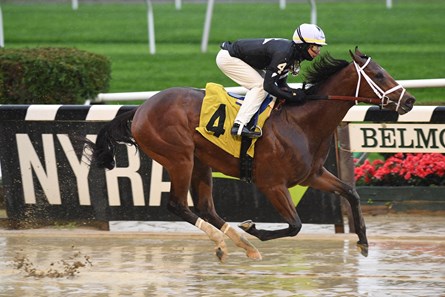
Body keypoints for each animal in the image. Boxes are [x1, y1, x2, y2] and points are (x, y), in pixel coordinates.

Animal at [86, 47, 412, 260]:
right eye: (379, 75)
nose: (409, 100)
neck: (301, 122)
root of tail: (140, 108)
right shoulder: (271, 183)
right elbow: (295, 225)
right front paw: (254, 228)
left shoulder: (312, 176)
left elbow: (351, 193)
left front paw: (364, 242)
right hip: (179, 158)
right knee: (178, 205)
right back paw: (225, 242)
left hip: (200, 162)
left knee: (205, 207)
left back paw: (242, 245)